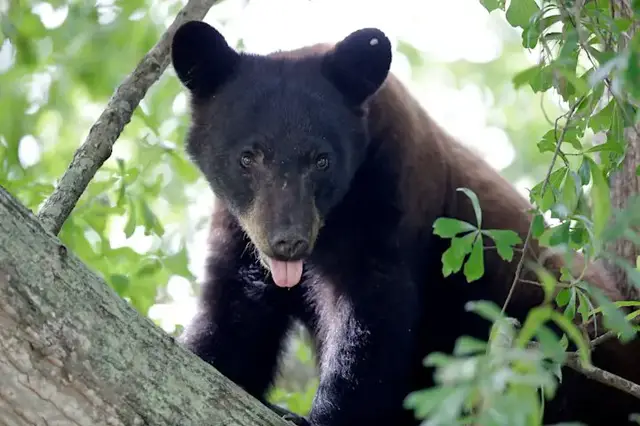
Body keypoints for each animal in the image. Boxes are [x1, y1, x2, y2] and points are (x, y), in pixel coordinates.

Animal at [170, 21, 640, 426]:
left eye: (322, 160)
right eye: (248, 157)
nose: (289, 241)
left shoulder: (389, 202)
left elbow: (371, 322)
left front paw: (316, 417)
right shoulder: (240, 234)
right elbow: (234, 316)